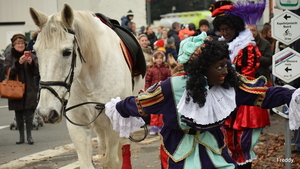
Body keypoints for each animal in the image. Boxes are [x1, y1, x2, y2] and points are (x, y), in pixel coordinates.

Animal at [29, 3, 145, 169]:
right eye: (36, 52)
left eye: (67, 52)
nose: (46, 112)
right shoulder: (78, 125)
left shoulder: (114, 123)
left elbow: (112, 161)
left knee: (124, 146)